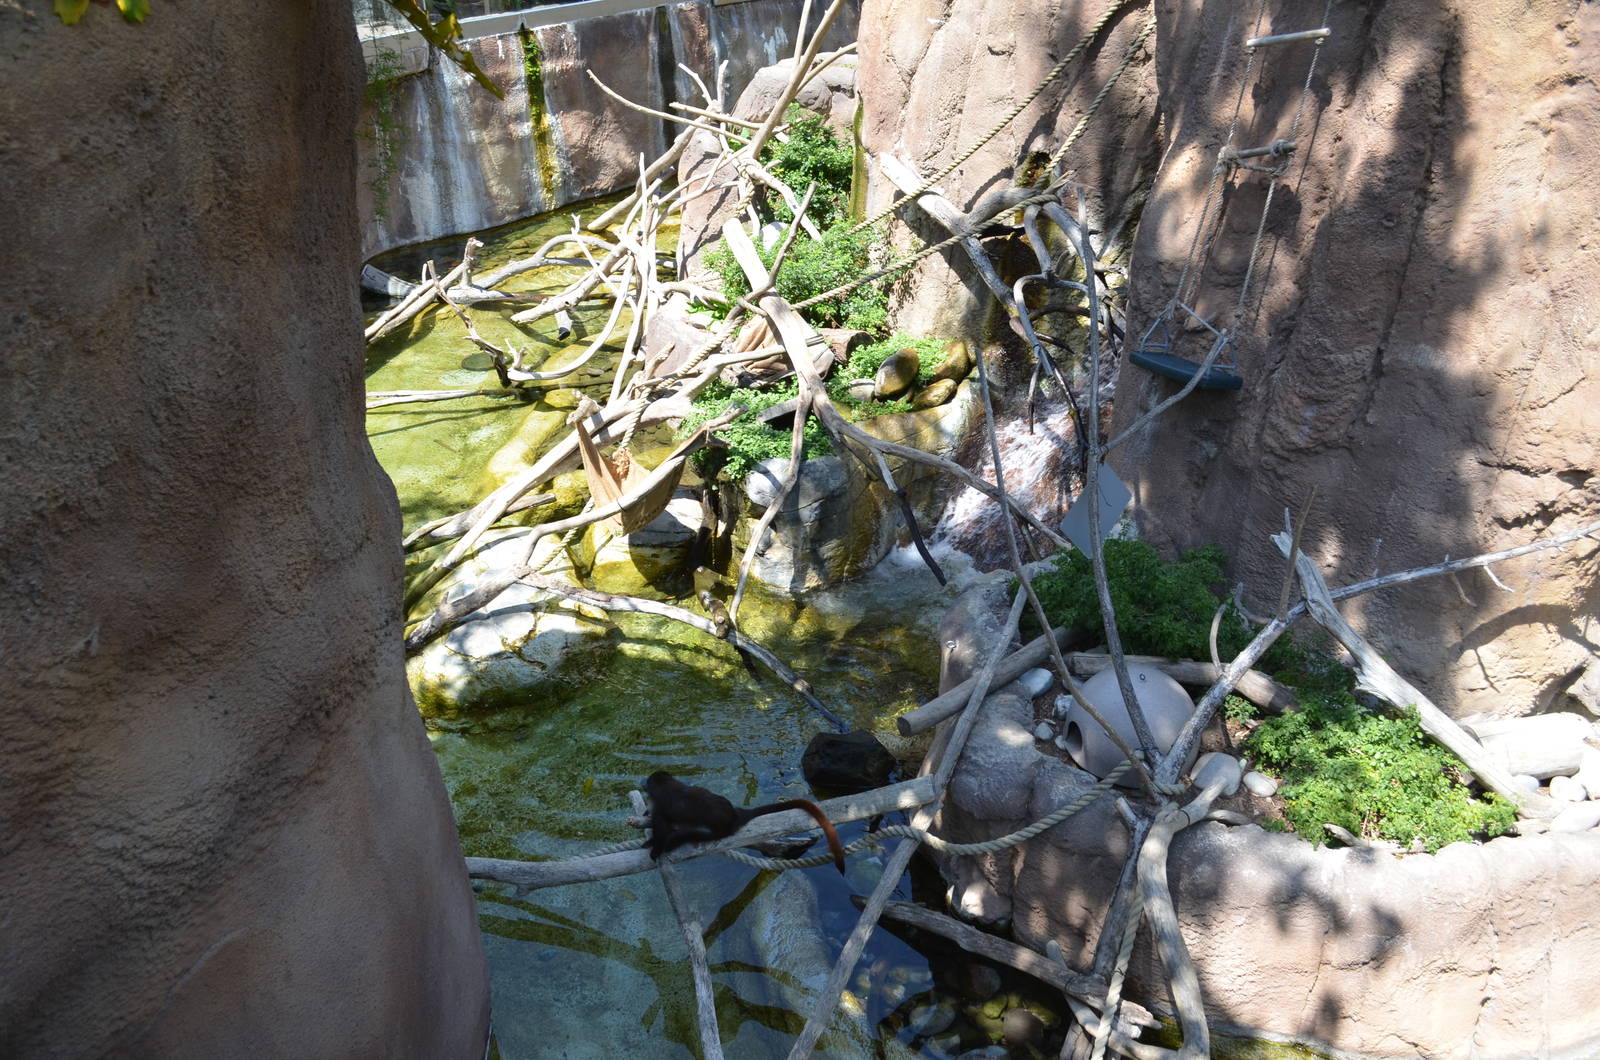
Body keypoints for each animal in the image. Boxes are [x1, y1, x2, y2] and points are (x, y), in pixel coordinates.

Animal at [643, 770, 846, 874]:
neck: (666, 785)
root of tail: (734, 814)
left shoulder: (660, 805)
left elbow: (663, 830)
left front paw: (655, 847)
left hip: (719, 831)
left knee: (682, 836)